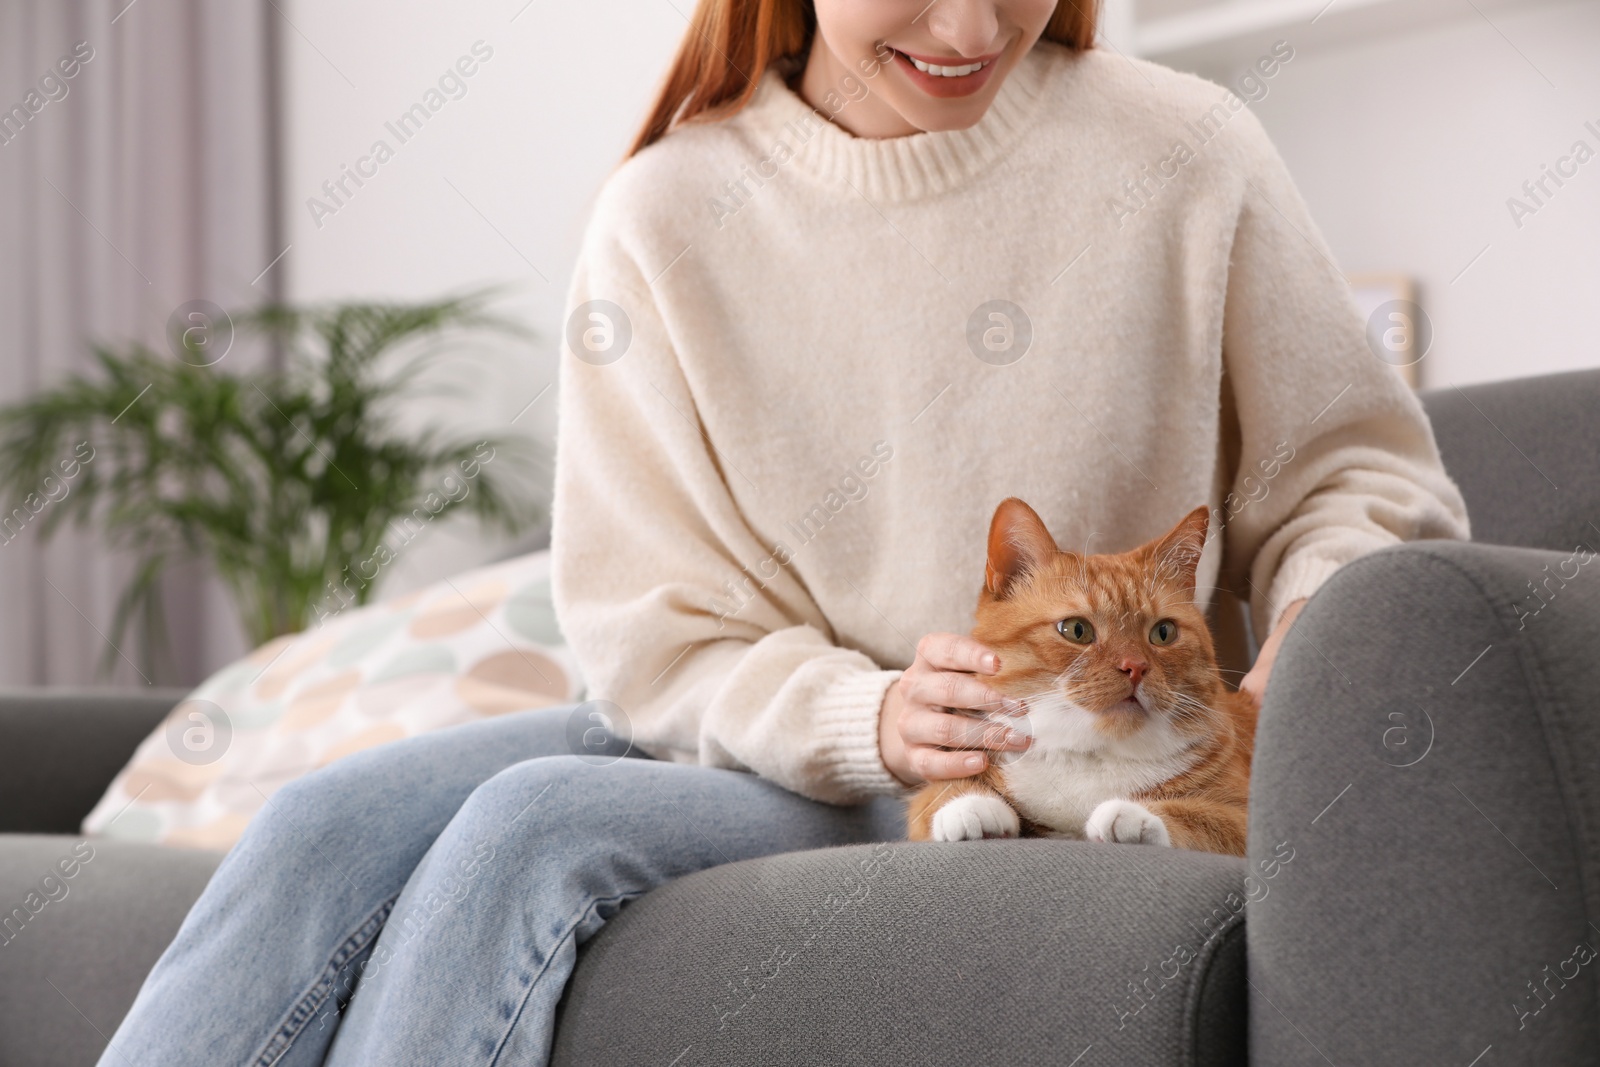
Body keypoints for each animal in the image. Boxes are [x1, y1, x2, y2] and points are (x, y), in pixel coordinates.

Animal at [908, 502, 1254, 857]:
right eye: (1076, 630)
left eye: (1163, 632)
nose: (1135, 666)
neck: (1087, 756)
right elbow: (939, 792)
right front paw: (971, 806)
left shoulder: (1245, 820)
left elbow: (1201, 817)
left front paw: (1133, 815)